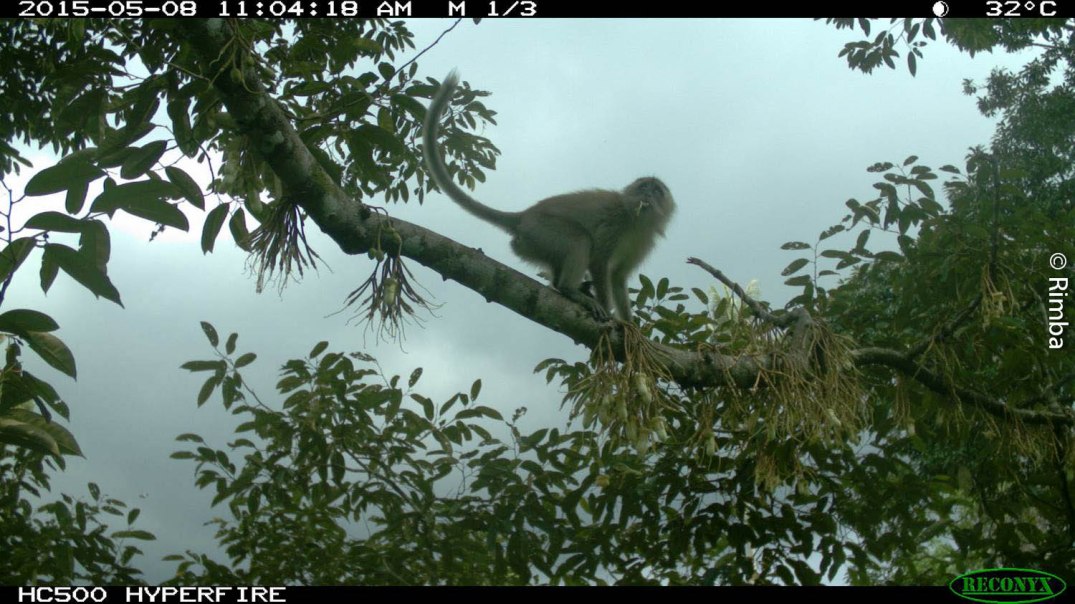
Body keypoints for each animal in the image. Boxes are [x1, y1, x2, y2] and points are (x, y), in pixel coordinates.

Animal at [422, 71, 675, 321]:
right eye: (644, 187)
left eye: (657, 191)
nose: (648, 194)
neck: (635, 221)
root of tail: (524, 216)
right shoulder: (616, 221)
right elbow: (599, 262)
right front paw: (611, 314)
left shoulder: (645, 238)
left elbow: (618, 276)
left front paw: (631, 328)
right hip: (540, 230)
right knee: (580, 239)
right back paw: (569, 290)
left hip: (531, 243)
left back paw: (562, 286)